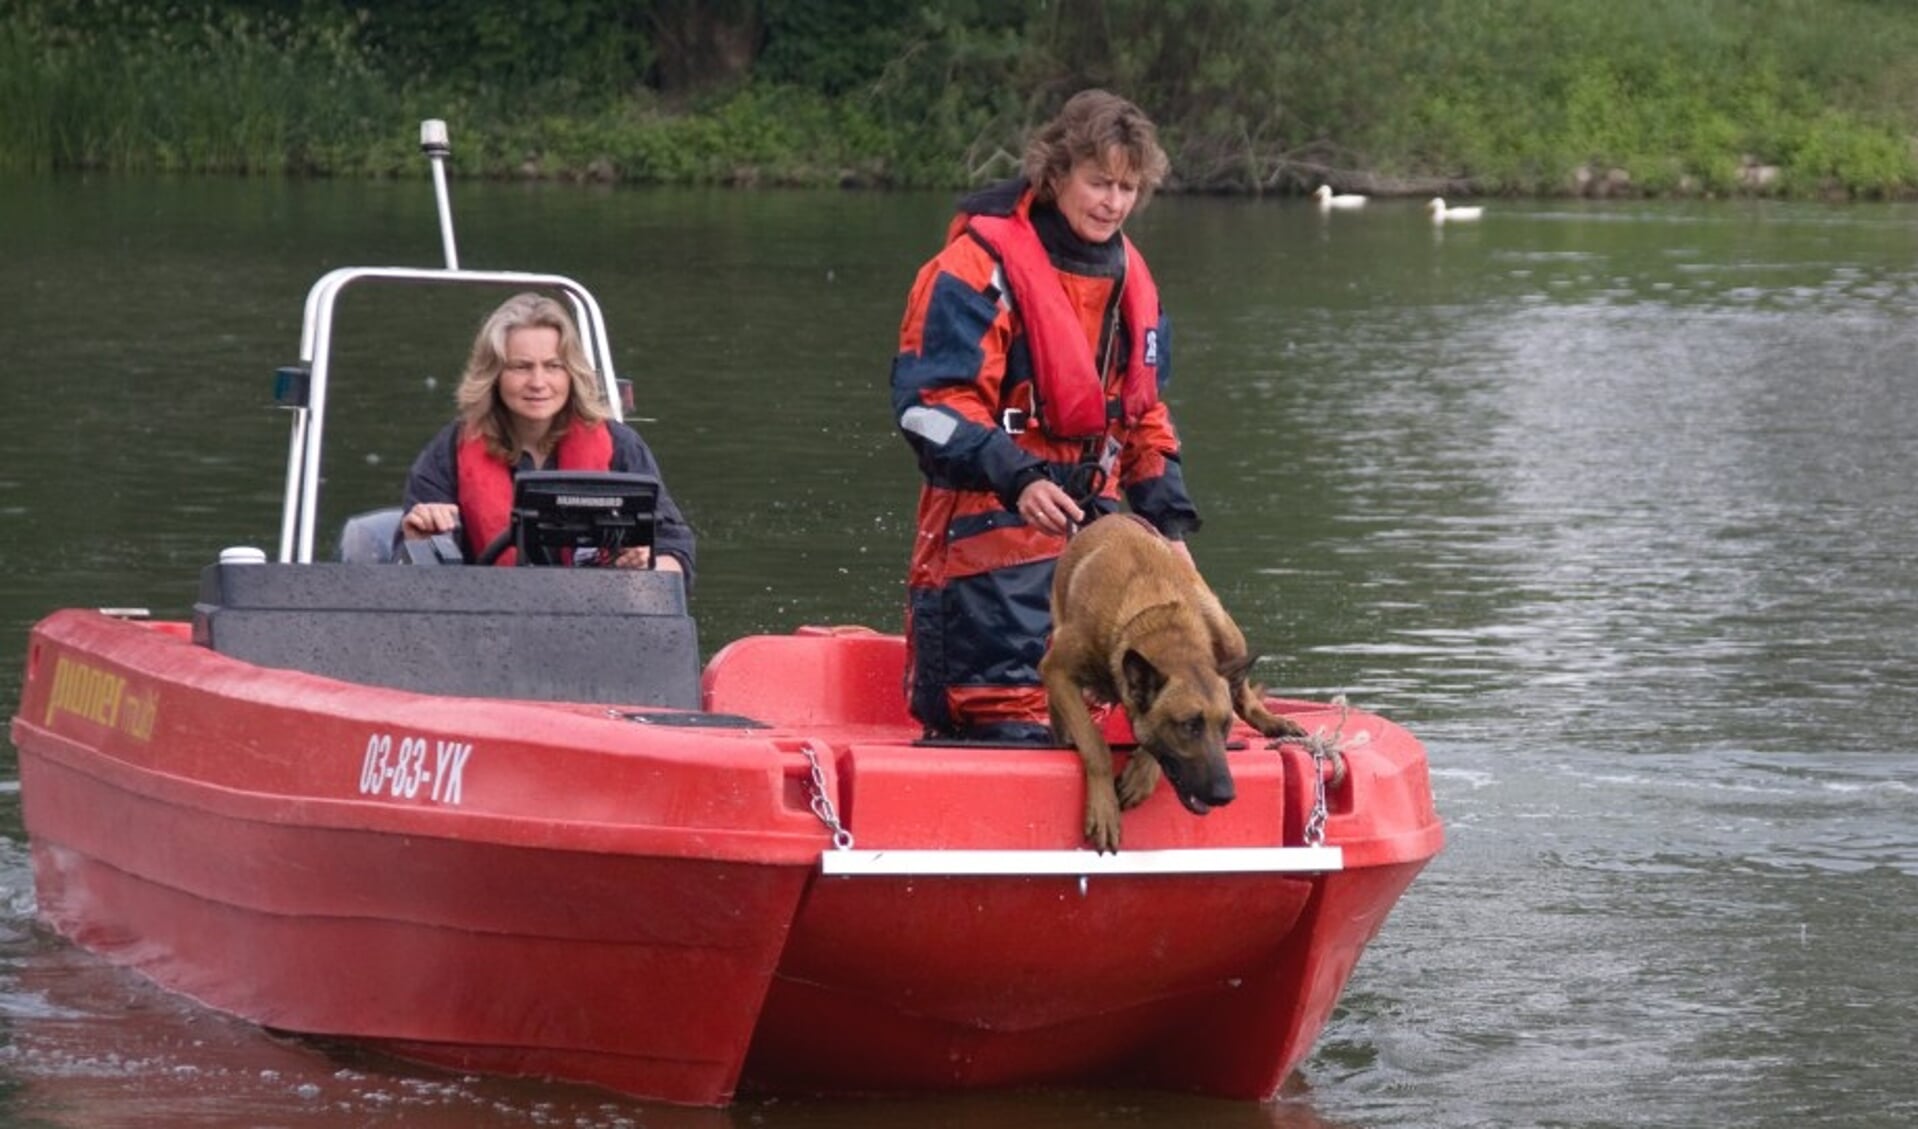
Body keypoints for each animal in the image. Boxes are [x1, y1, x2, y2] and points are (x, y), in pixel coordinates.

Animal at [1043, 513, 1311, 851]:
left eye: (1225, 726)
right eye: (1189, 726)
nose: (1226, 795)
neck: (1156, 620)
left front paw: (1142, 774)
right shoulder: (1057, 672)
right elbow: (1095, 746)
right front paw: (1104, 810)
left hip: (1226, 631)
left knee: (1244, 694)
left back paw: (1274, 722)